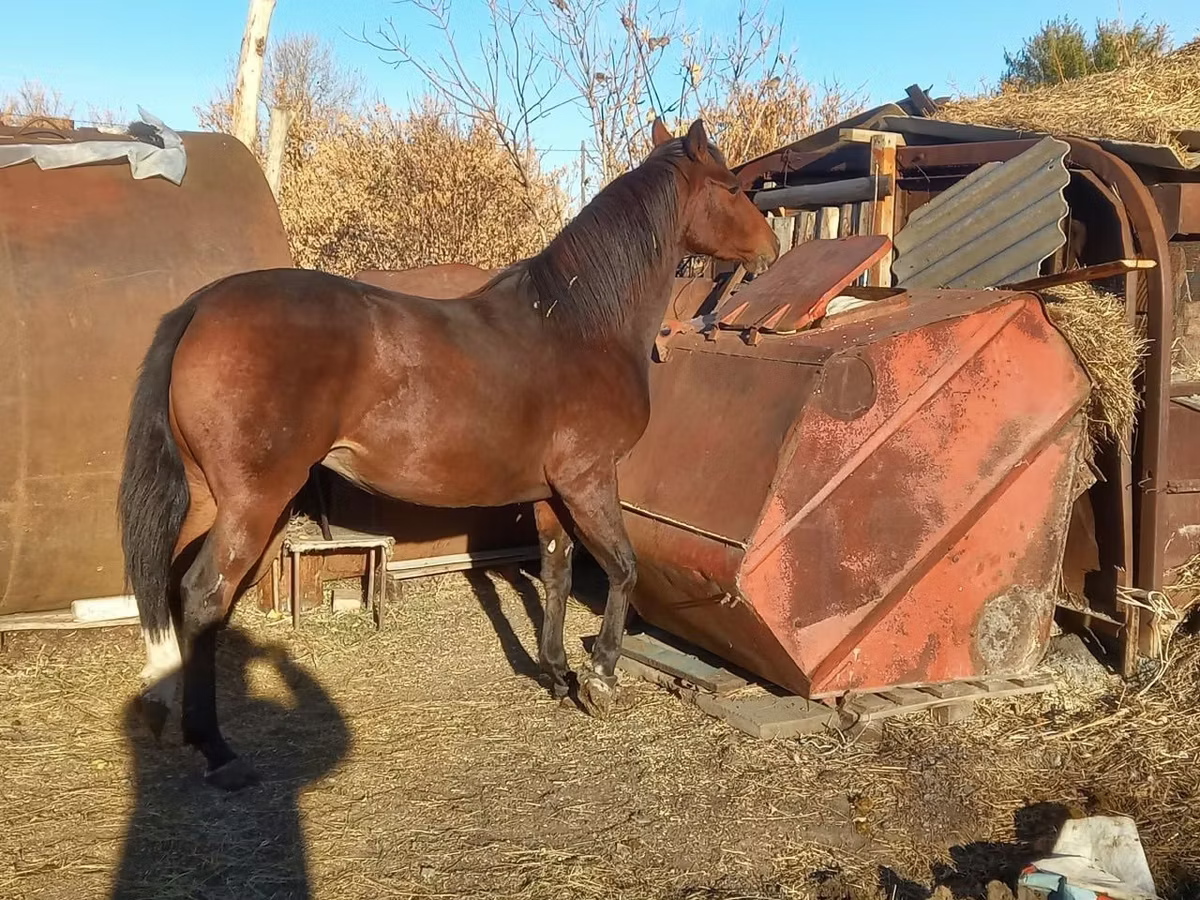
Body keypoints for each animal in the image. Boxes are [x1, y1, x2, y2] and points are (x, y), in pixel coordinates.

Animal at [119, 117, 779, 790]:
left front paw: (557, 674)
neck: (578, 327)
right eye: (731, 187)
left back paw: (163, 706)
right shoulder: (589, 481)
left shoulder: (549, 493)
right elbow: (622, 568)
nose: (771, 246)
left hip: (206, 498)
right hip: (253, 502)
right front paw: (600, 681)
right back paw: (217, 749)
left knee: (165, 581)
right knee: (203, 594)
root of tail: (202, 306)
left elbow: (557, 573)